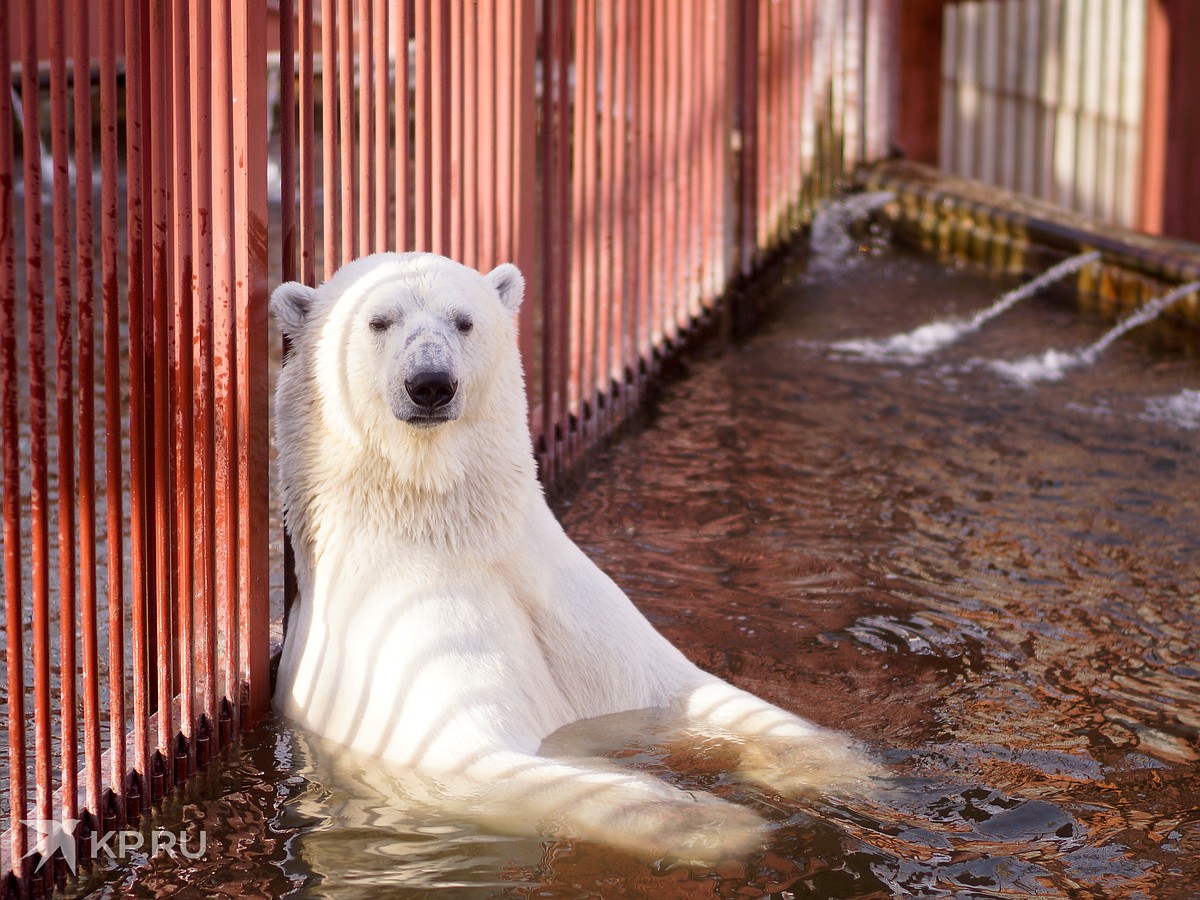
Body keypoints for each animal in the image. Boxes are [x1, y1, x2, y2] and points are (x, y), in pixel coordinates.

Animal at [272, 252, 873, 859]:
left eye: (464, 320)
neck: (456, 534)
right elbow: (482, 758)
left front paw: (830, 766)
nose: (431, 384)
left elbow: (685, 688)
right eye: (379, 321)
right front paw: (719, 824)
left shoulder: (573, 604)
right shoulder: (407, 663)